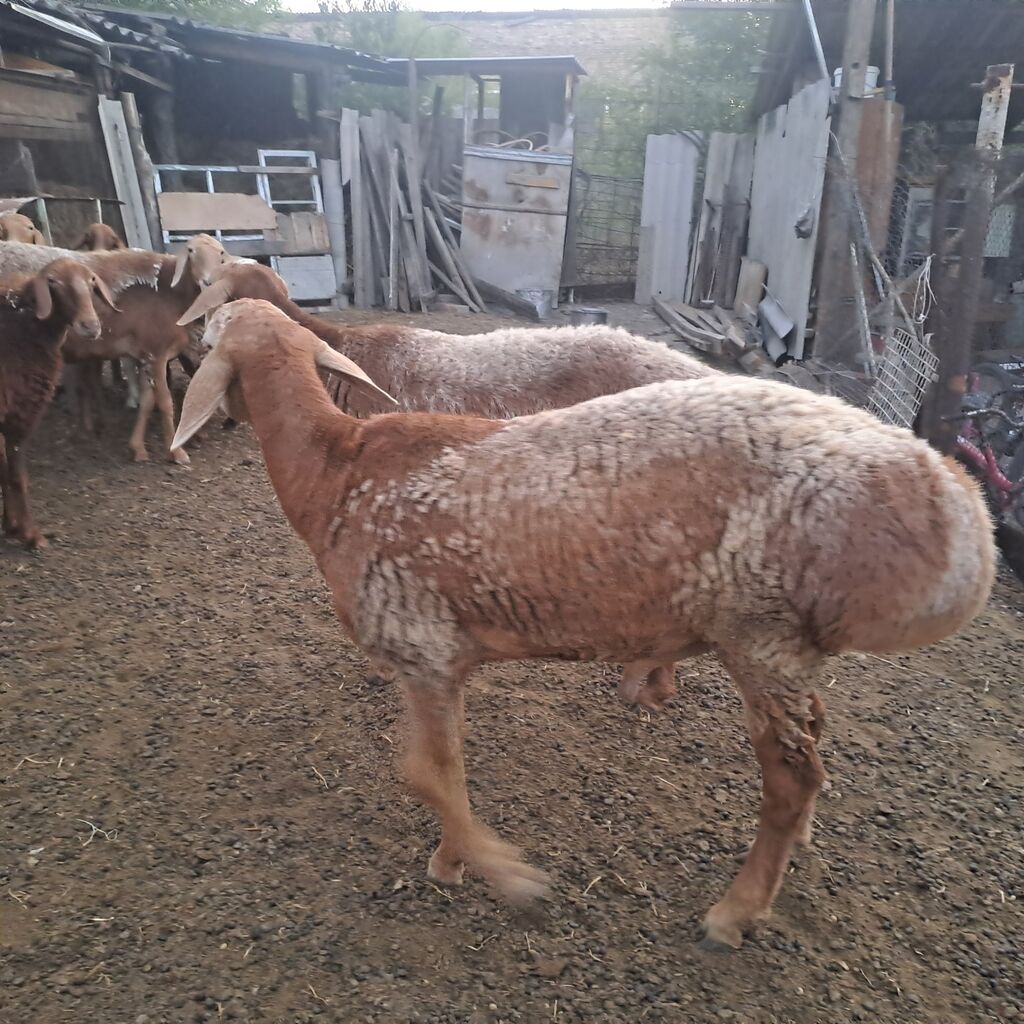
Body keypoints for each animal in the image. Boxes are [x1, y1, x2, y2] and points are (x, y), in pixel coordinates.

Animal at [1, 258, 121, 548]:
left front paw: (10, 525)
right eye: (53, 283)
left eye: (91, 281)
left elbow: (3, 473)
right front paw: (31, 535)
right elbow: (17, 477)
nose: (91, 326)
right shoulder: (19, 415)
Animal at [172, 298, 996, 949]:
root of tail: (962, 515)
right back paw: (793, 849)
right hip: (789, 646)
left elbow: (425, 773)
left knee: (792, 777)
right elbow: (443, 771)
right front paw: (455, 859)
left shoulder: (419, 642)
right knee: (810, 748)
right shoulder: (436, 660)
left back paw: (734, 912)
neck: (335, 472)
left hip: (764, 633)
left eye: (208, 330)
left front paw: (505, 876)